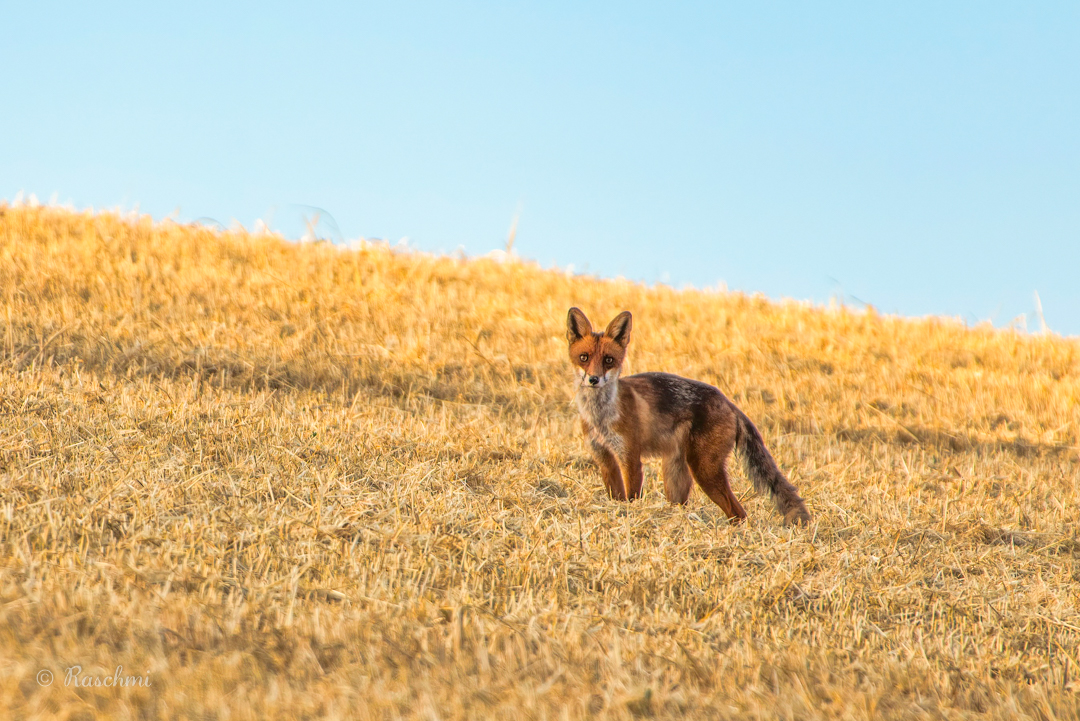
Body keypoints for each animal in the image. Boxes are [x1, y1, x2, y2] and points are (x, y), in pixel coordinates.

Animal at [565, 306, 812, 526]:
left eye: (608, 360)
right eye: (584, 357)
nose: (594, 379)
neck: (600, 417)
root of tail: (729, 403)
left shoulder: (630, 458)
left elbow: (632, 497)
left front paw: (630, 515)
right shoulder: (604, 458)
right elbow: (615, 496)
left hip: (704, 470)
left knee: (739, 512)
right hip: (676, 474)